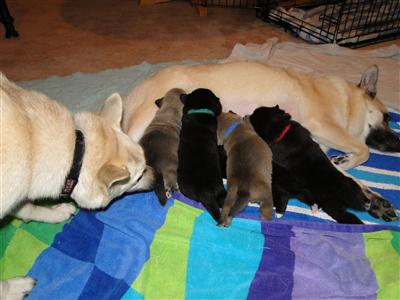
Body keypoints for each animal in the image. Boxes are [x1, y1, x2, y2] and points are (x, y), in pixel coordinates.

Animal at [0, 72, 153, 300]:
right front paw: (13, 288)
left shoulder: (19, 191)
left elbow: (27, 208)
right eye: (138, 177)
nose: (158, 178)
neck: (75, 153)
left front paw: (54, 213)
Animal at [123, 60, 398, 171]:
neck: (346, 100)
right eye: (387, 117)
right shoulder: (323, 124)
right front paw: (348, 161)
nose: (398, 142)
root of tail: (133, 94)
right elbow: (364, 150)